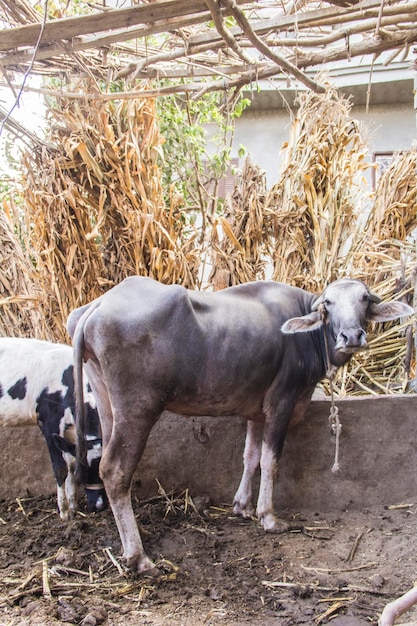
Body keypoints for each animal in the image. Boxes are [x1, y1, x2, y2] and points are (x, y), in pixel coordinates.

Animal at [0, 336, 107, 516]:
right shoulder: (49, 423)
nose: (99, 506)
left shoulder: (72, 430)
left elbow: (71, 463)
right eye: (84, 472)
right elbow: (60, 468)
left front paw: (73, 505)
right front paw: (64, 511)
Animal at [66, 276, 412, 572]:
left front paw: (242, 505)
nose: (351, 336)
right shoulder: (281, 403)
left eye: (364, 299)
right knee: (115, 470)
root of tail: (100, 304)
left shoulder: (256, 412)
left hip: (106, 403)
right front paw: (268, 516)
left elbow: (251, 456)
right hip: (138, 409)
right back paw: (138, 556)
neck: (305, 338)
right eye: (328, 303)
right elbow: (271, 461)